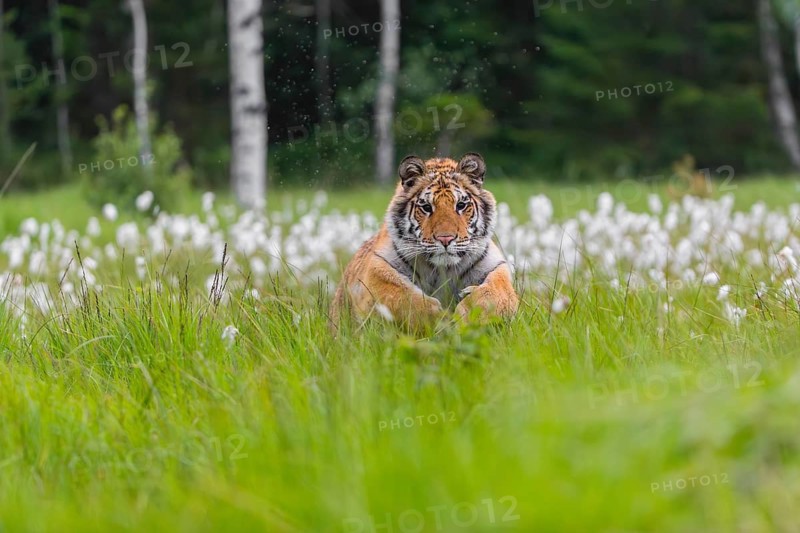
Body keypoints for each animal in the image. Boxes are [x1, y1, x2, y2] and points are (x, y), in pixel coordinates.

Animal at [330, 152, 519, 330]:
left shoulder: (497, 266)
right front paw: (440, 320)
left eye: (461, 205)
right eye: (427, 207)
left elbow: (495, 293)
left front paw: (466, 316)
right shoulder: (375, 270)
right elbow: (401, 298)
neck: (443, 269)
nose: (445, 239)